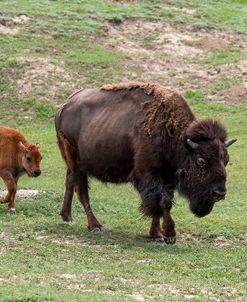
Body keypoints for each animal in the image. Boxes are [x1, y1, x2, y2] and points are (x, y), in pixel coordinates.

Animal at [55, 81, 236, 244]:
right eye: (201, 160)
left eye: (226, 160)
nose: (219, 193)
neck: (174, 137)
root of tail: (64, 106)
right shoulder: (150, 175)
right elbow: (161, 203)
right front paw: (168, 235)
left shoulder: (167, 178)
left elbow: (162, 204)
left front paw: (157, 234)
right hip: (76, 163)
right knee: (82, 191)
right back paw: (95, 226)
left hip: (72, 163)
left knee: (70, 182)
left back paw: (67, 217)